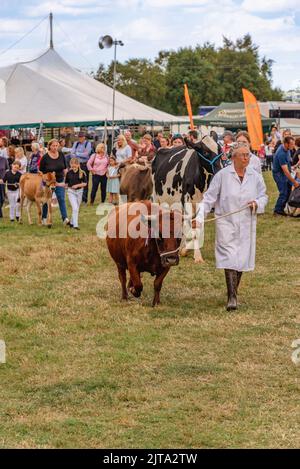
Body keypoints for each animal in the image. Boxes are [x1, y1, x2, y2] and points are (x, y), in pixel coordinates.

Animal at [152, 135, 223, 264]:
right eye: (205, 152)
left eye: (220, 150)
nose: (220, 169)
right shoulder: (187, 201)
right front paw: (197, 256)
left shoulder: (203, 204)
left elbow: (197, 227)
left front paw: (185, 250)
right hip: (157, 199)